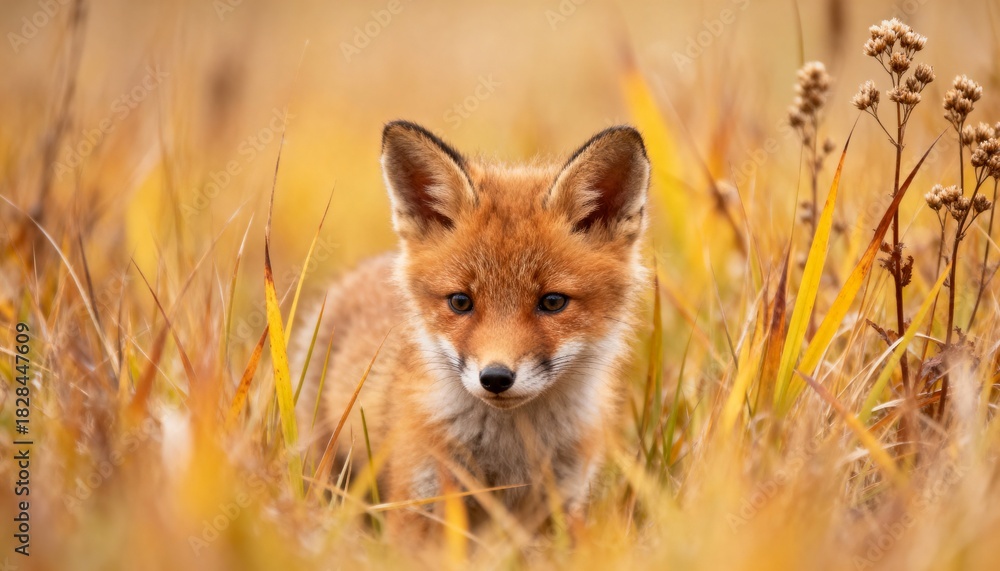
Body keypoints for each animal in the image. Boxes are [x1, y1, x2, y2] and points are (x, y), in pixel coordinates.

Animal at [297, 120, 651, 537]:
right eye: (460, 302)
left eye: (552, 302)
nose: (495, 378)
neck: (509, 452)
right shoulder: (420, 498)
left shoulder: (562, 506)